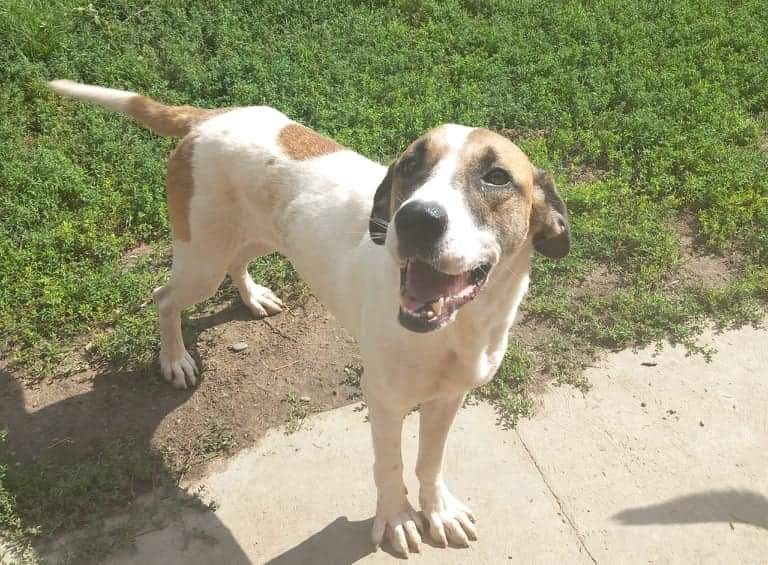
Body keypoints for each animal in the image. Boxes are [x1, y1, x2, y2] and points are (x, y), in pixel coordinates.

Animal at [48, 80, 570, 556]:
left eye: (496, 177)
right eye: (410, 165)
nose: (415, 219)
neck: (459, 328)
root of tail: (209, 117)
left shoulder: (449, 397)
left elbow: (430, 462)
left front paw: (437, 510)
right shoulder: (383, 401)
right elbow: (391, 467)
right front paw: (397, 519)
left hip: (256, 237)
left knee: (237, 264)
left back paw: (254, 296)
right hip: (201, 260)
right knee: (164, 297)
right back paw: (175, 359)